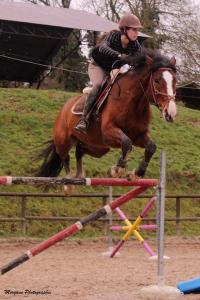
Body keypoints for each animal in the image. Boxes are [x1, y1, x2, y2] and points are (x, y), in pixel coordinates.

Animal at [36, 49, 177, 190]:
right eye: (157, 80)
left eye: (175, 81)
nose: (171, 112)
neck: (133, 101)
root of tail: (63, 108)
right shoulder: (109, 131)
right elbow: (126, 143)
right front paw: (117, 170)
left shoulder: (138, 135)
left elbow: (151, 147)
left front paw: (136, 173)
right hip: (64, 140)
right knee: (64, 156)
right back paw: (69, 183)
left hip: (99, 147)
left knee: (79, 150)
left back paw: (79, 175)